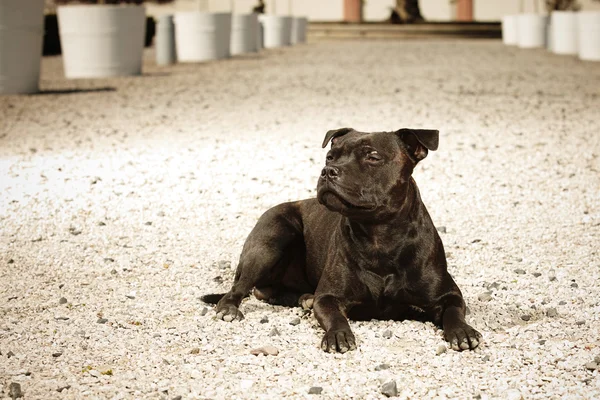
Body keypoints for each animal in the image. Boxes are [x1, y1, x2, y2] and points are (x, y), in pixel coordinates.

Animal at [204, 128, 480, 354]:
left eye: (372, 157)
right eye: (330, 156)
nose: (328, 171)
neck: (380, 237)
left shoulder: (447, 294)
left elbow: (454, 311)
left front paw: (462, 331)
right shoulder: (328, 297)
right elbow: (336, 317)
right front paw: (338, 335)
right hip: (272, 239)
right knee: (238, 288)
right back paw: (230, 308)